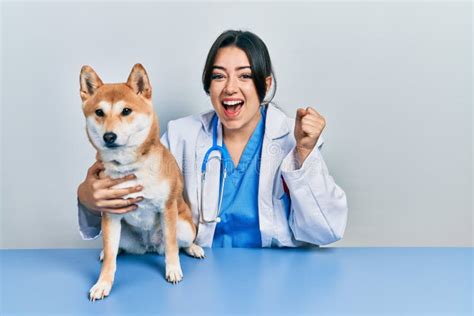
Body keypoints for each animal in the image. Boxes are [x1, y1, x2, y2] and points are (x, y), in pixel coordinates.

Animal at [79, 63, 204, 302]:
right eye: (99, 112)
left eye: (126, 111)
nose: (109, 136)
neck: (130, 168)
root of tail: (149, 246)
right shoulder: (110, 213)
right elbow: (111, 259)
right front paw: (103, 283)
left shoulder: (167, 208)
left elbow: (172, 246)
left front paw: (173, 270)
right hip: (119, 232)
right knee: (115, 249)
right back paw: (108, 252)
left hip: (184, 226)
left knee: (180, 243)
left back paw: (193, 249)